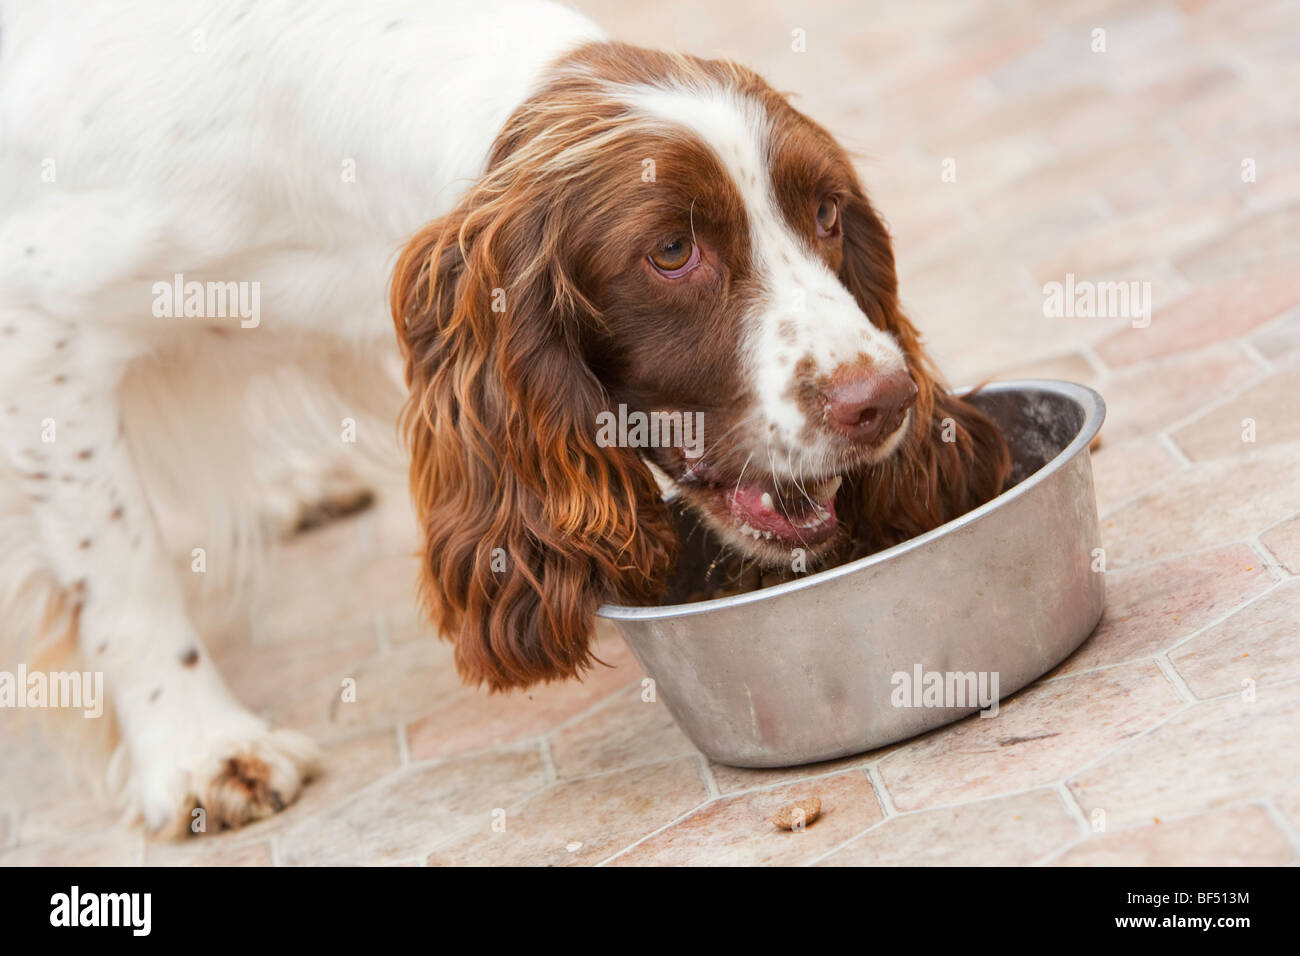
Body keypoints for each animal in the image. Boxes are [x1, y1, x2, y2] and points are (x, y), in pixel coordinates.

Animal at [0, 0, 1003, 832]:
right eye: (671, 251)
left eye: (827, 214)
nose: (884, 399)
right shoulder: (39, 328)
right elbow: (121, 564)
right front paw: (199, 750)